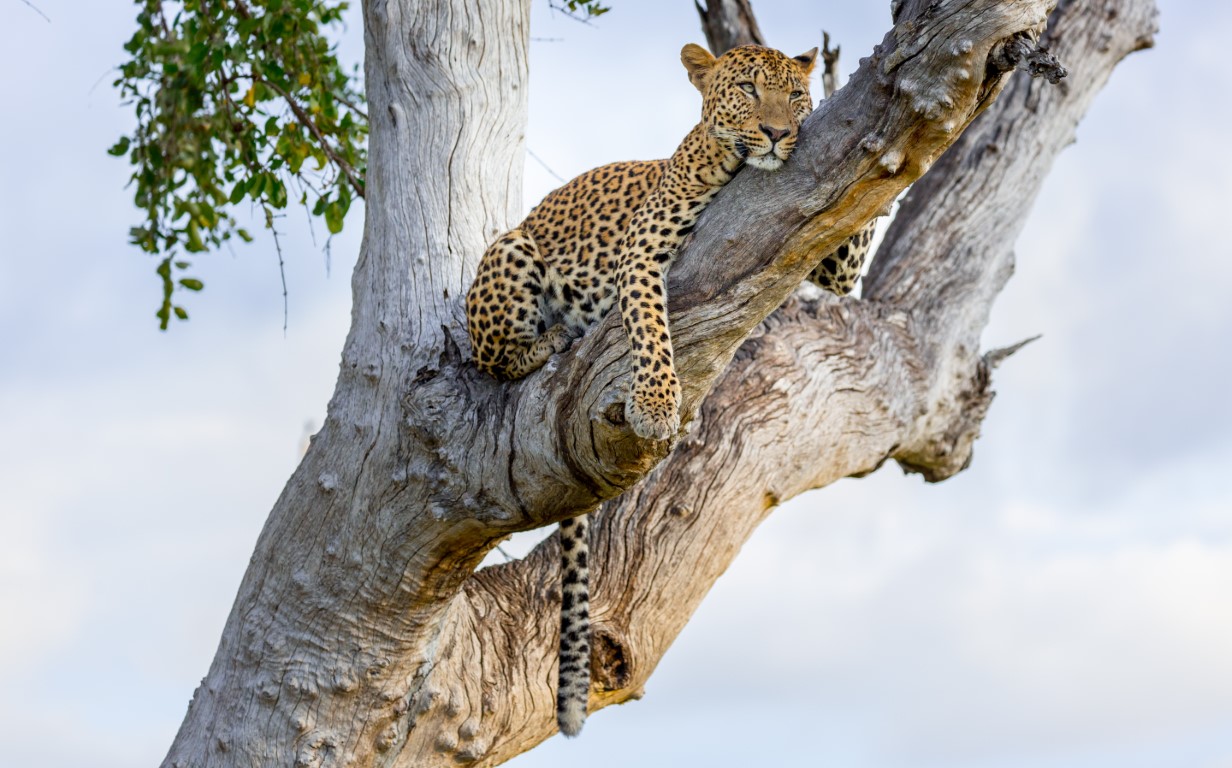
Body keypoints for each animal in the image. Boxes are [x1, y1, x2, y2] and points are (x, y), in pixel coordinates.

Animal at [465, 43, 876, 737]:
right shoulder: (641, 254)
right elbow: (653, 332)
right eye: (747, 89)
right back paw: (549, 343)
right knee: (494, 359)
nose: (777, 133)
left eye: (795, 96)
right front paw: (657, 405)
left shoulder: (835, 263)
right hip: (510, 254)